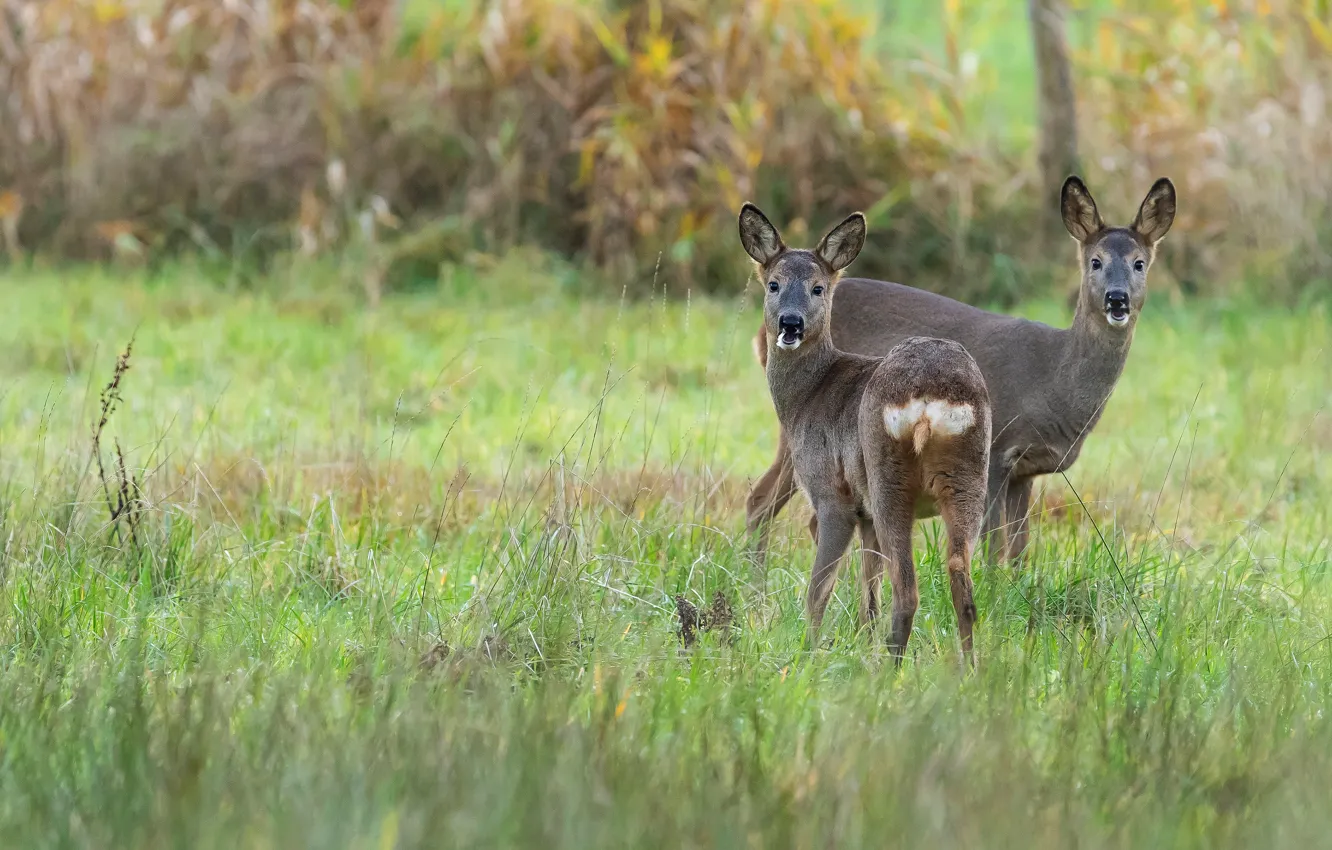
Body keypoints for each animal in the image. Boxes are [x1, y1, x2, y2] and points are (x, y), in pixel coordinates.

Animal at [745, 202, 996, 663]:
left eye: (818, 288)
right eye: (773, 284)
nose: (790, 323)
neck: (809, 395)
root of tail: (930, 399)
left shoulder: (834, 497)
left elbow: (820, 590)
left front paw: (809, 654)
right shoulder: (864, 517)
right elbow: (868, 591)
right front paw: (859, 643)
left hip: (889, 481)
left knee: (907, 591)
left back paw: (889, 671)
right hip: (968, 479)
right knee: (960, 583)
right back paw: (968, 669)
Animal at [751, 174, 1177, 564]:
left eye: (1140, 263)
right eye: (1095, 262)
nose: (1117, 299)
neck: (1052, 378)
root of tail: (760, 334)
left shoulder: (1026, 470)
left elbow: (1019, 552)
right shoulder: (996, 448)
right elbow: (991, 547)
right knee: (762, 499)